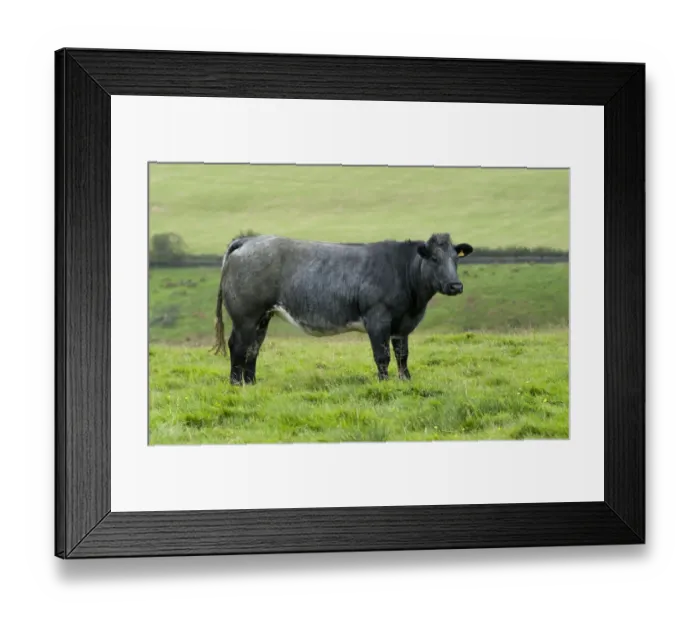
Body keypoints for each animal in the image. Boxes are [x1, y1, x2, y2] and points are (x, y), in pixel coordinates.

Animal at [212, 233, 474, 385]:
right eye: (434, 259)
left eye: (455, 258)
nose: (456, 285)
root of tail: (249, 240)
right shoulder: (377, 319)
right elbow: (382, 355)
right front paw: (384, 383)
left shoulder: (403, 325)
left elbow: (402, 354)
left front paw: (405, 380)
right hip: (245, 316)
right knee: (238, 345)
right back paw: (235, 383)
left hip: (262, 317)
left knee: (253, 348)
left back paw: (251, 382)